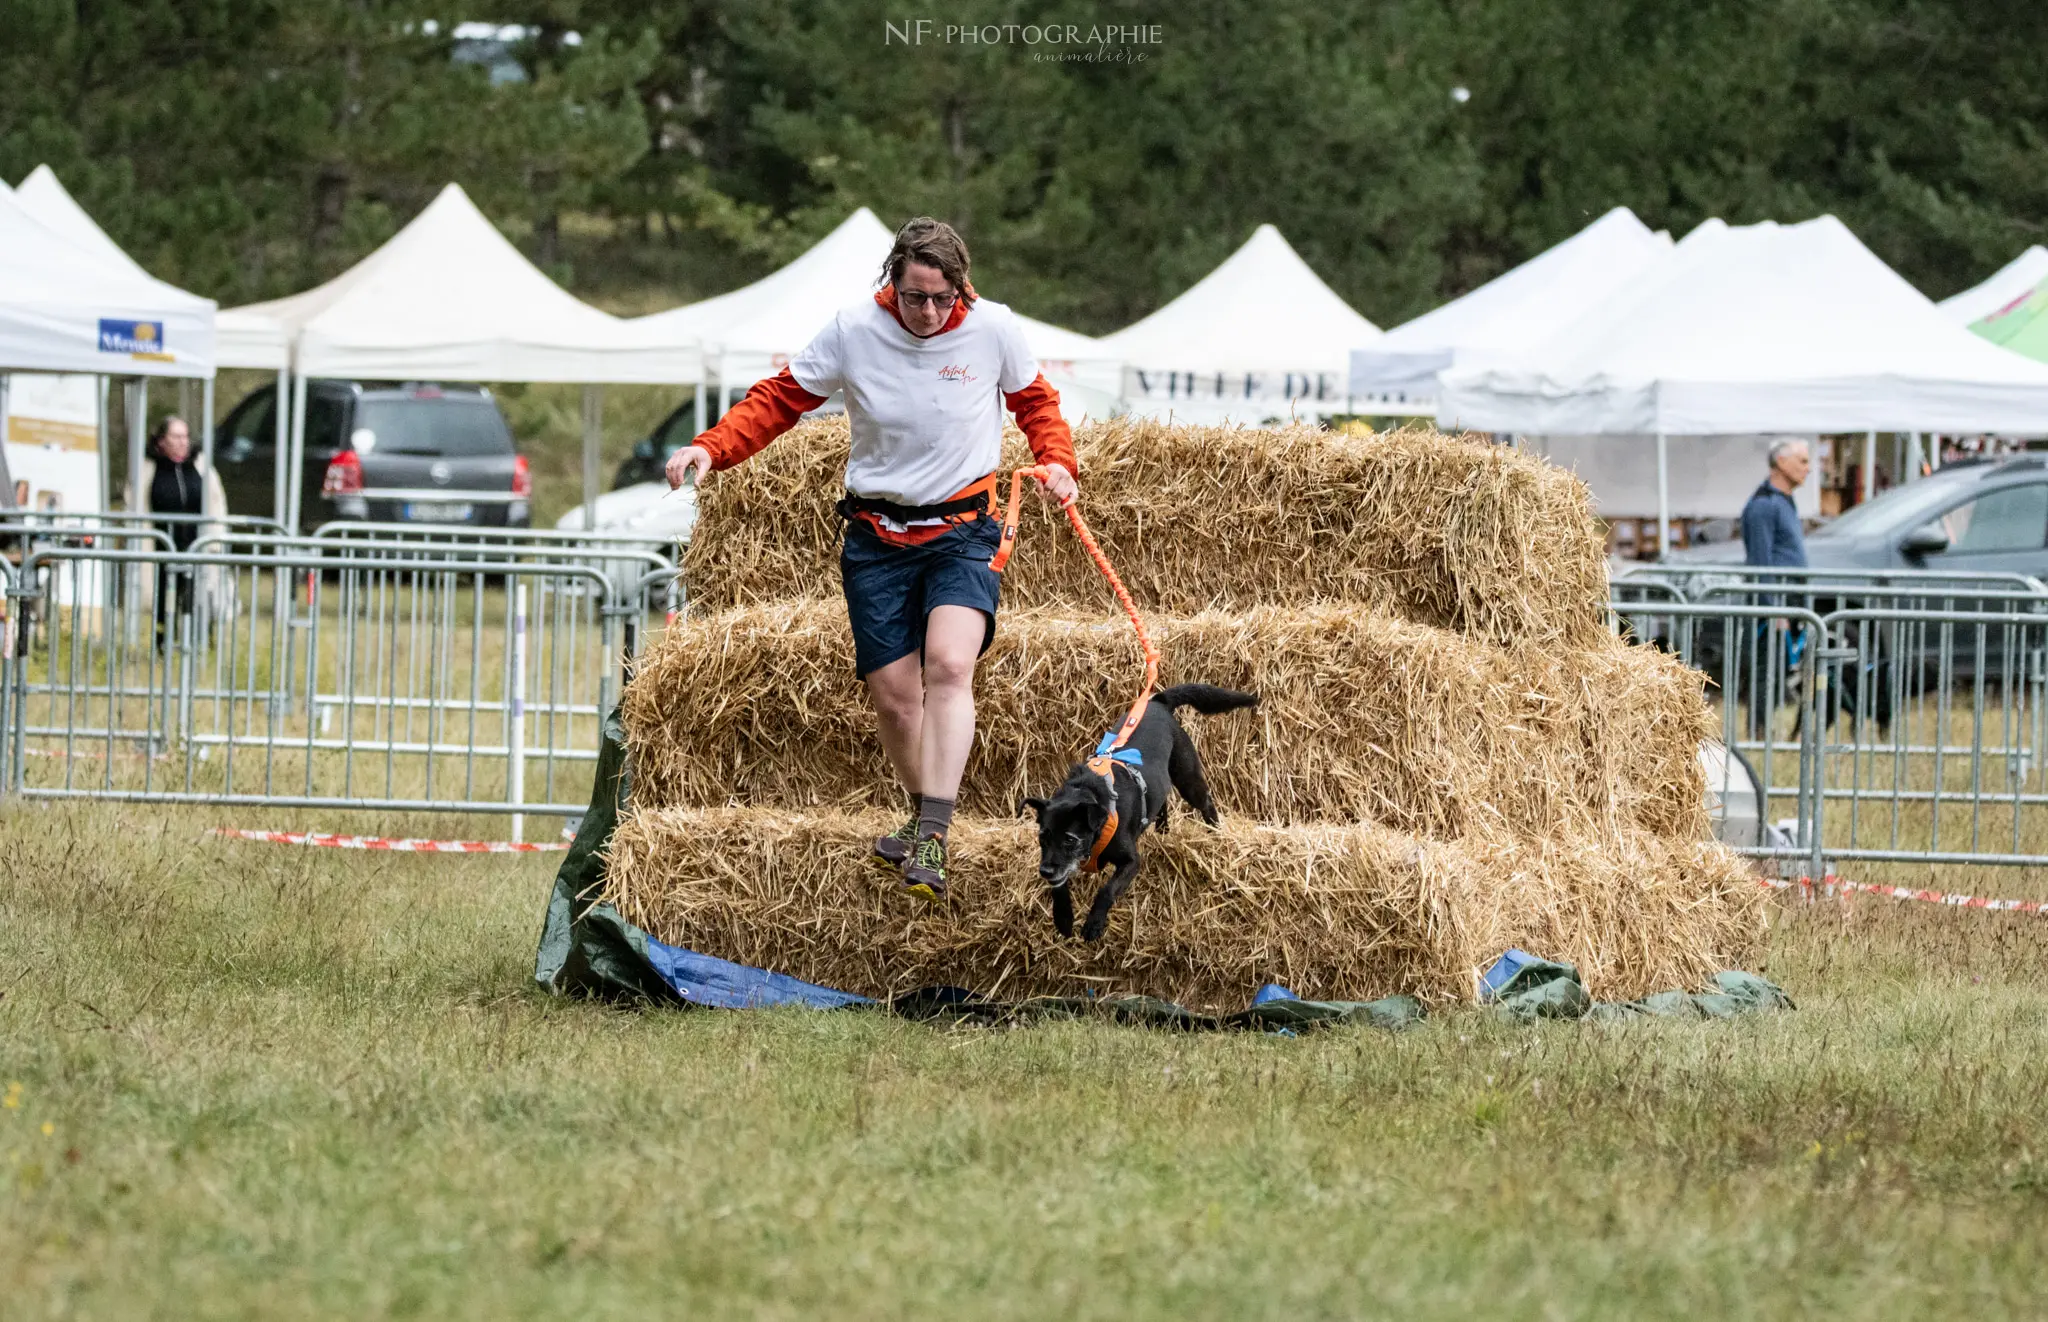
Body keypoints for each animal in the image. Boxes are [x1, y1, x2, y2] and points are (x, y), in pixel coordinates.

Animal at [1019, 683, 1253, 941]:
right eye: (1042, 837)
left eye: (1070, 839)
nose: (1045, 872)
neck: (1092, 795)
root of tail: (1159, 702)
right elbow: (1059, 888)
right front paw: (1063, 918)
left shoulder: (1131, 862)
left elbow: (1107, 889)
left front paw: (1094, 924)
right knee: (1162, 801)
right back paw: (1163, 830)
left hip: (1188, 778)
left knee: (1206, 803)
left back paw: (1215, 831)